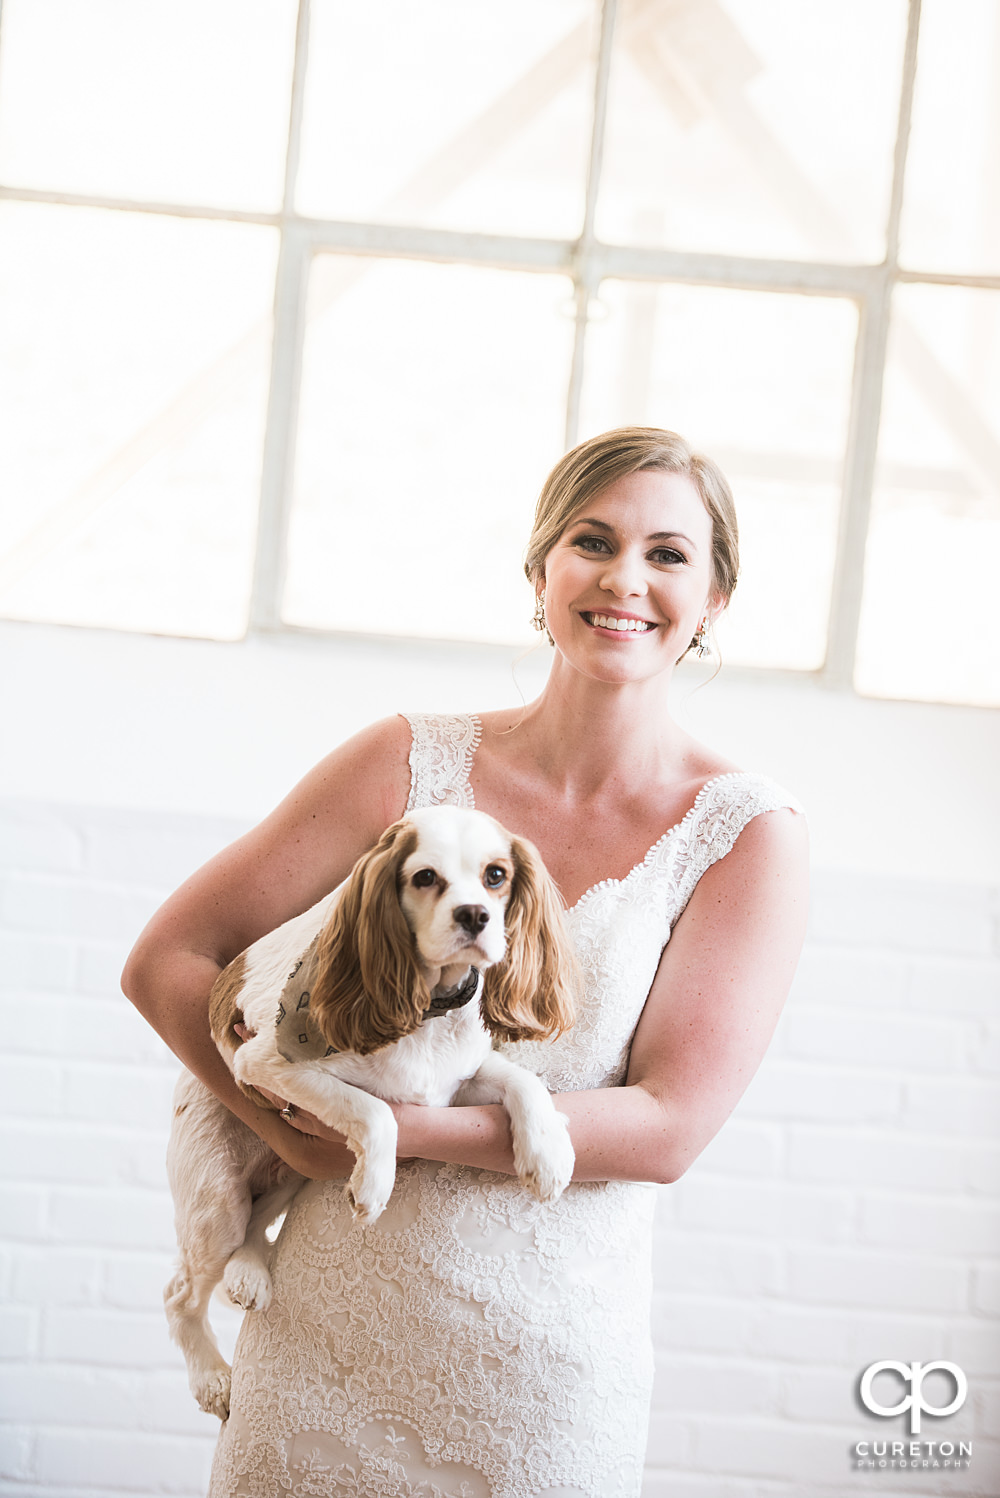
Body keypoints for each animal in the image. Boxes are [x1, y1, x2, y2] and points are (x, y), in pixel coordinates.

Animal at [164, 808, 577, 1414]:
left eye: (496, 876)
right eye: (425, 877)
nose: (475, 915)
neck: (429, 1010)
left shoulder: (454, 1086)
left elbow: (521, 1080)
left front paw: (546, 1154)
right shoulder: (265, 1065)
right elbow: (375, 1109)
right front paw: (375, 1185)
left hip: (293, 1170)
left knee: (258, 1221)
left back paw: (251, 1271)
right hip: (218, 1197)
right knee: (180, 1295)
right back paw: (210, 1376)